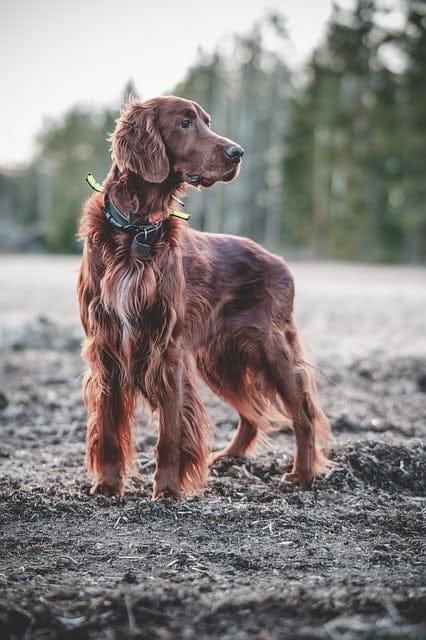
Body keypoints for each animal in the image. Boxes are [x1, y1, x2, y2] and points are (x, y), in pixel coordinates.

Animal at [78, 95, 334, 500]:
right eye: (185, 123)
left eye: (207, 122)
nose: (238, 152)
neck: (137, 230)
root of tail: (279, 262)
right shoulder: (105, 346)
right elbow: (107, 428)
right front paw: (106, 485)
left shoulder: (167, 348)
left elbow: (169, 433)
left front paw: (167, 491)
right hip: (221, 360)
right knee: (252, 415)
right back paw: (227, 457)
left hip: (270, 349)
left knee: (302, 414)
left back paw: (302, 474)